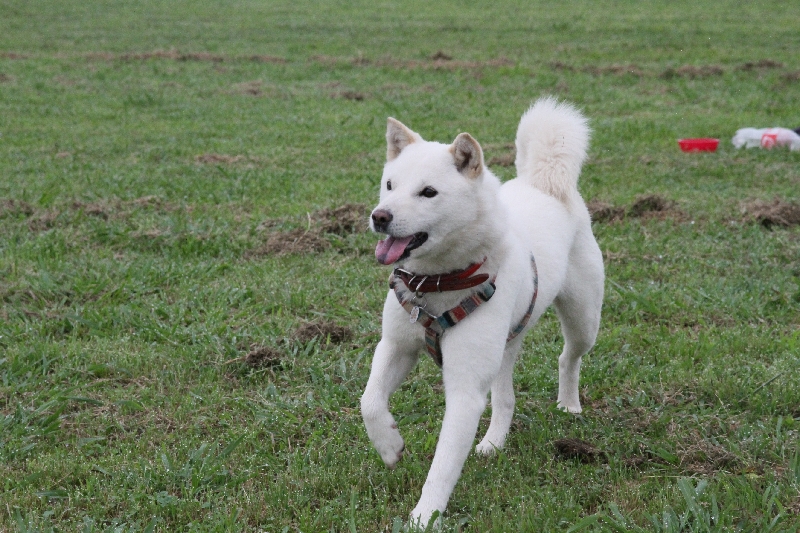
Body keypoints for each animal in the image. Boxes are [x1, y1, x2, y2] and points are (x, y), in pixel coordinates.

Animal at [361, 97, 604, 527]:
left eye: (428, 192)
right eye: (390, 185)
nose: (380, 216)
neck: (438, 282)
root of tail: (544, 184)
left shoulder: (464, 390)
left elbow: (442, 465)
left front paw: (424, 517)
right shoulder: (395, 346)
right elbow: (370, 402)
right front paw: (389, 446)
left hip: (583, 321)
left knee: (568, 357)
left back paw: (569, 404)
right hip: (505, 343)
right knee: (505, 398)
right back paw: (493, 443)